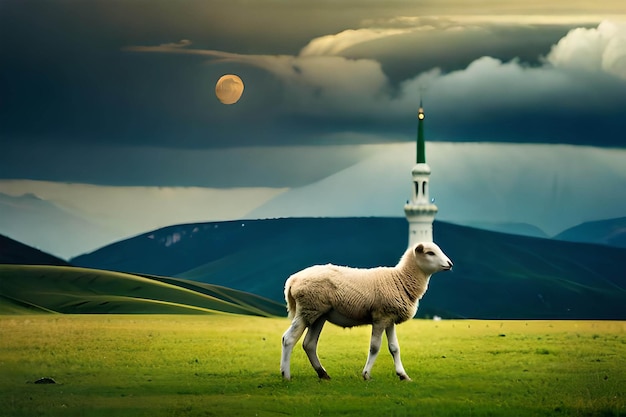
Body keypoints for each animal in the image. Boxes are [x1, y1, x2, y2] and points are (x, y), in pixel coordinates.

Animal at [280, 240, 450, 380]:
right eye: (430, 253)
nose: (450, 264)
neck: (400, 279)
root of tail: (292, 280)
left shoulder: (390, 318)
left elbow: (394, 348)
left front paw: (403, 375)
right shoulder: (380, 317)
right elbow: (375, 347)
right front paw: (366, 374)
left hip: (318, 314)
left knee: (309, 344)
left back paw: (323, 374)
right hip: (307, 310)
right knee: (288, 339)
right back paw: (286, 375)